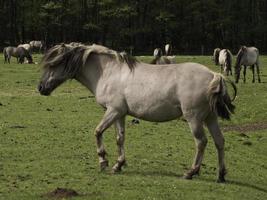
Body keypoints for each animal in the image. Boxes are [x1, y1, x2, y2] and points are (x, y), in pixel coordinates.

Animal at [37, 43, 237, 183]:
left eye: (53, 64)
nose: (40, 88)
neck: (108, 71)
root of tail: (214, 75)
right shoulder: (120, 114)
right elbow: (120, 138)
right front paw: (118, 164)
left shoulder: (113, 110)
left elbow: (98, 132)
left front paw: (103, 161)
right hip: (210, 118)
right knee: (219, 142)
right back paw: (221, 175)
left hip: (194, 119)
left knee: (201, 142)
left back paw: (191, 172)